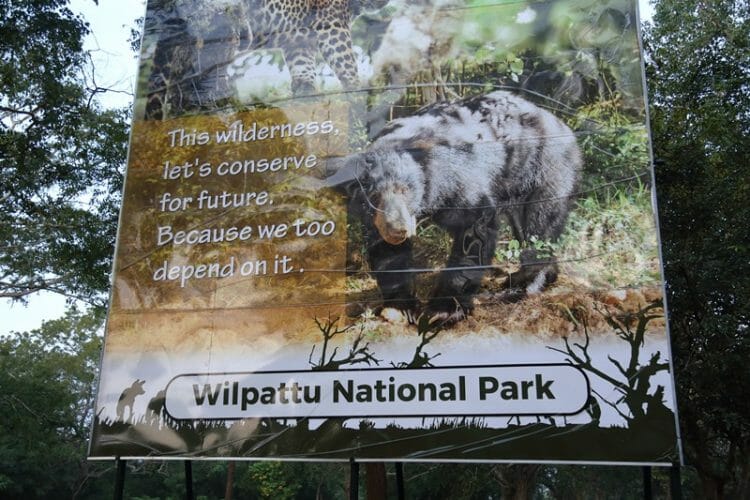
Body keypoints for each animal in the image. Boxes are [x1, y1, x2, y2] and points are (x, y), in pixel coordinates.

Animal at [142, 0, 388, 118]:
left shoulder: (299, 42)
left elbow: (303, 71)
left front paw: (306, 96)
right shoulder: (331, 23)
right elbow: (344, 60)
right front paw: (357, 92)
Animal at [328, 91, 580, 324]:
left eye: (406, 190)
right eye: (373, 196)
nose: (398, 230)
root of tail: (561, 123)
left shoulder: (458, 177)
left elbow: (475, 228)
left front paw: (443, 311)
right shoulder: (375, 219)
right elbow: (387, 252)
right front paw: (398, 307)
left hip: (545, 165)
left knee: (541, 223)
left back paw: (529, 283)